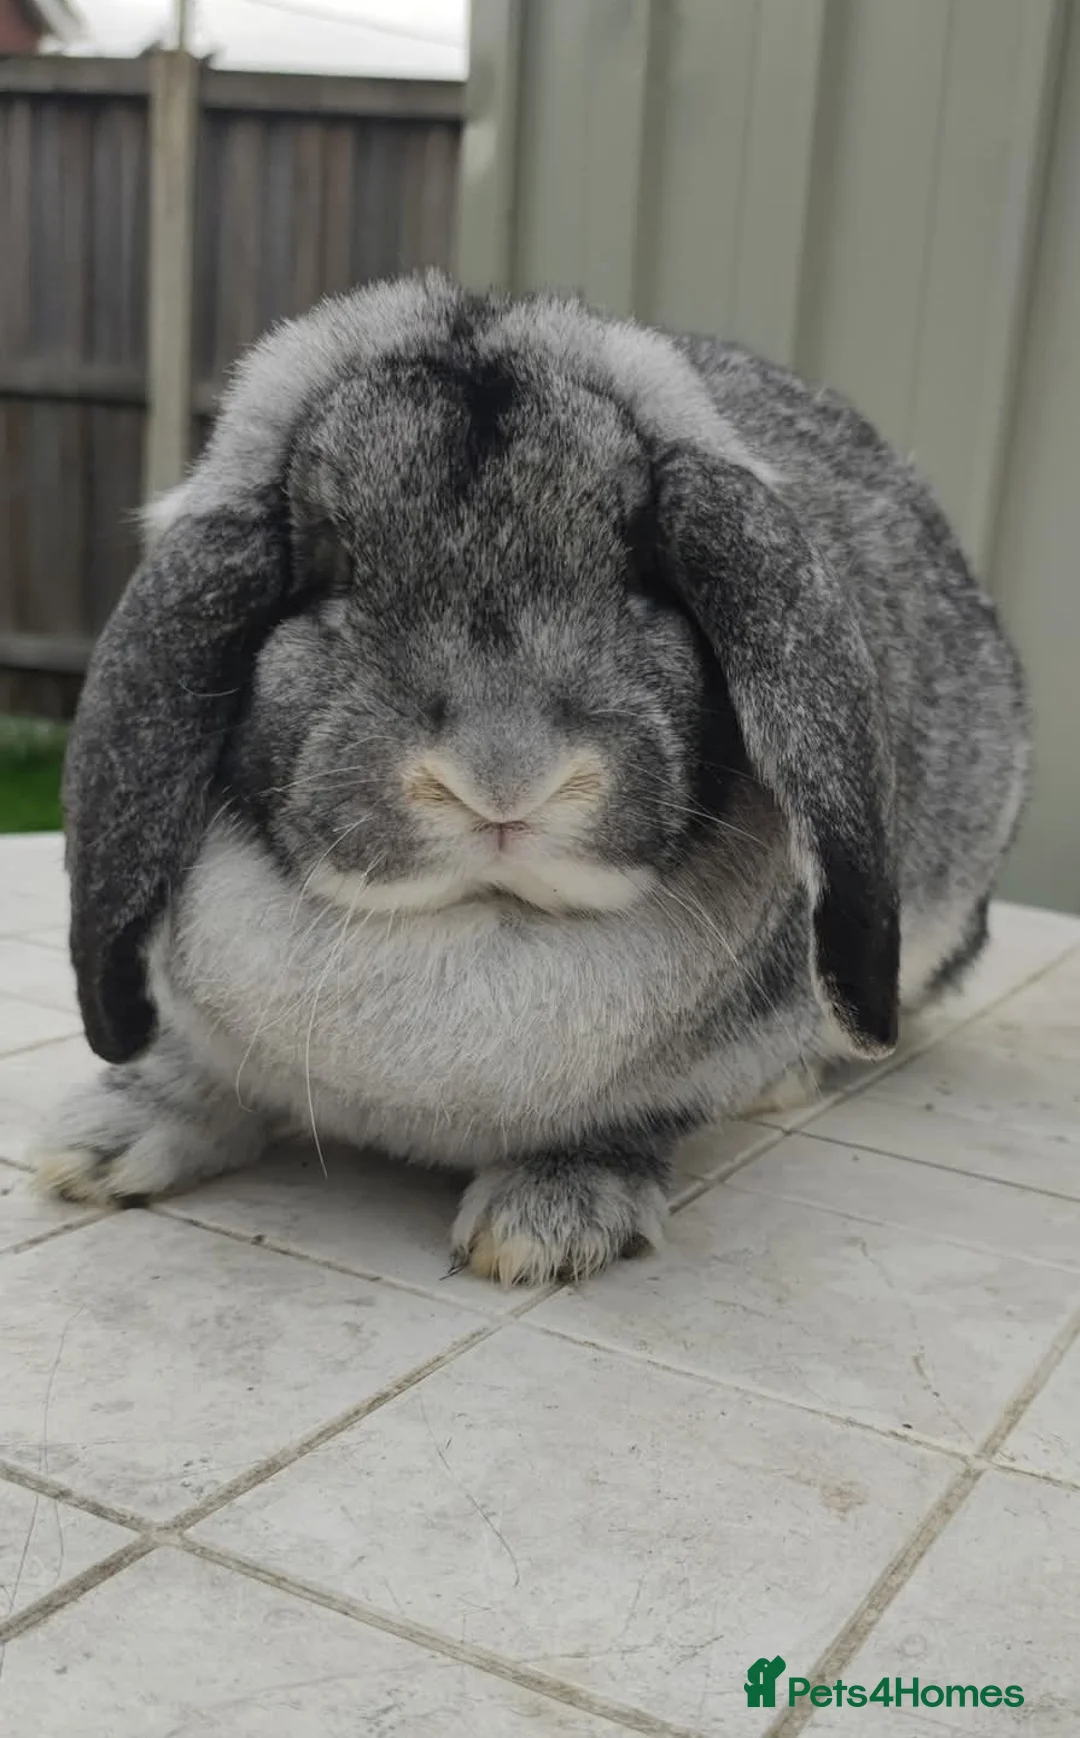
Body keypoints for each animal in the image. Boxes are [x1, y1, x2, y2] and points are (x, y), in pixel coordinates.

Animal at [31, 269, 1030, 1285]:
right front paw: (97, 1146)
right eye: (329, 567)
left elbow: (636, 1128)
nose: (503, 780)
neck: (472, 927)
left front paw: (545, 1227)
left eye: (644, 565)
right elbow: (195, 1075)